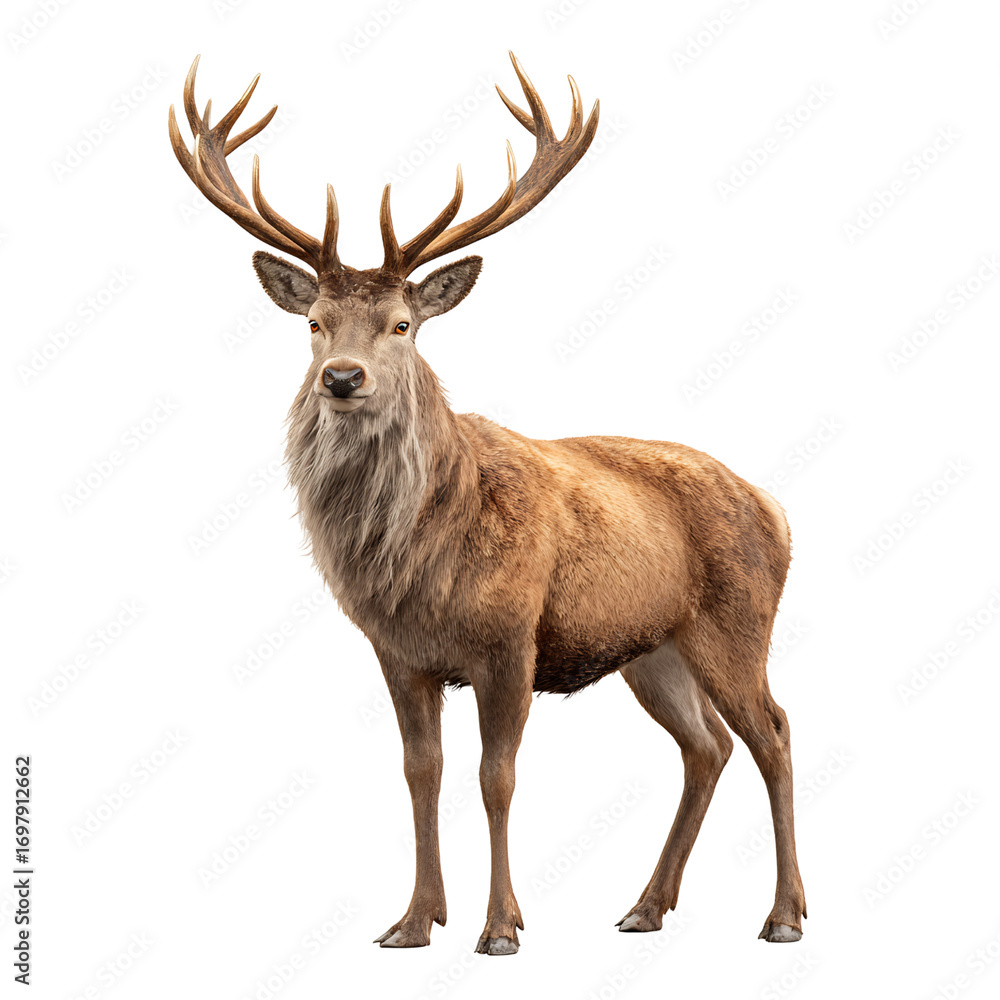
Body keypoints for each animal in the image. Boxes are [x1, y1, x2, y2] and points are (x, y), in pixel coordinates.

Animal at [169, 53, 806, 956]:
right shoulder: (398, 652)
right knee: (706, 747)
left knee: (774, 732)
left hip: (737, 622)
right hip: (653, 649)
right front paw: (412, 920)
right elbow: (421, 773)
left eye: (403, 325)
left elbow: (495, 777)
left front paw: (501, 926)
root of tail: (776, 508)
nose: (342, 378)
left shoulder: (512, 641)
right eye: (316, 322)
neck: (418, 564)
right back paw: (646, 905)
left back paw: (782, 915)